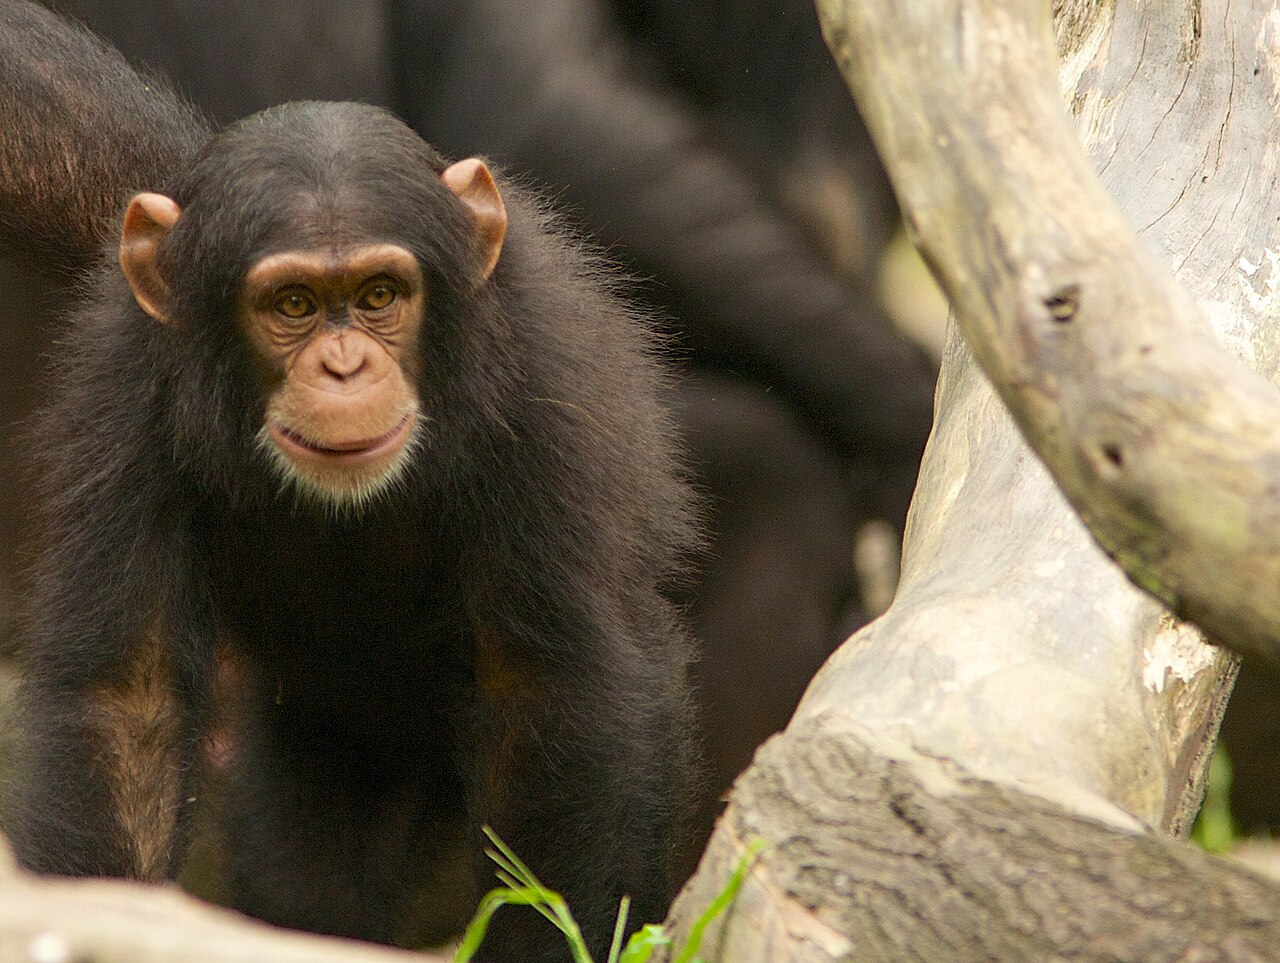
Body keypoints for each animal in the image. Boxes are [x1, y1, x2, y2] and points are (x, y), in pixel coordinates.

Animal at [0, 6, 699, 960]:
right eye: (293, 304)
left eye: (378, 295)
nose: (342, 365)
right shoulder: (124, 395)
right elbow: (128, 702)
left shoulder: (546, 395)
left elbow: (558, 687)